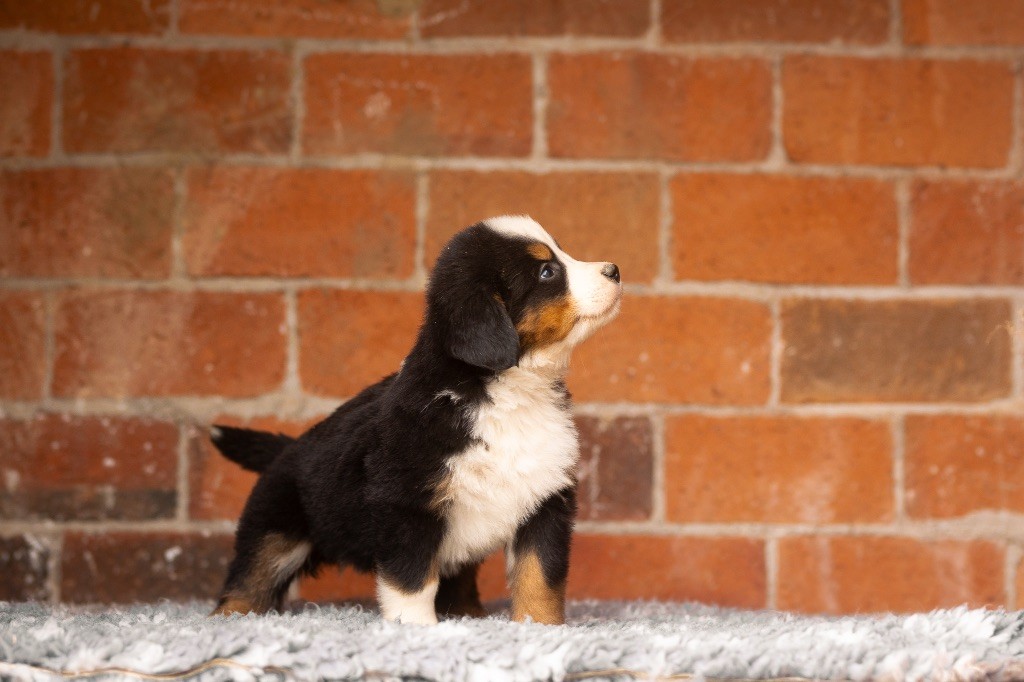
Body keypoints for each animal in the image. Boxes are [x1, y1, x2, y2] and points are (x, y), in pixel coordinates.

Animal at [208, 214, 618, 622]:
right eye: (547, 272)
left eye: (562, 252)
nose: (614, 270)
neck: (506, 392)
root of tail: (290, 446)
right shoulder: (406, 504)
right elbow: (412, 579)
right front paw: (417, 627)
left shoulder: (545, 498)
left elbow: (539, 576)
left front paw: (540, 626)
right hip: (276, 525)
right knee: (253, 573)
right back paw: (233, 615)